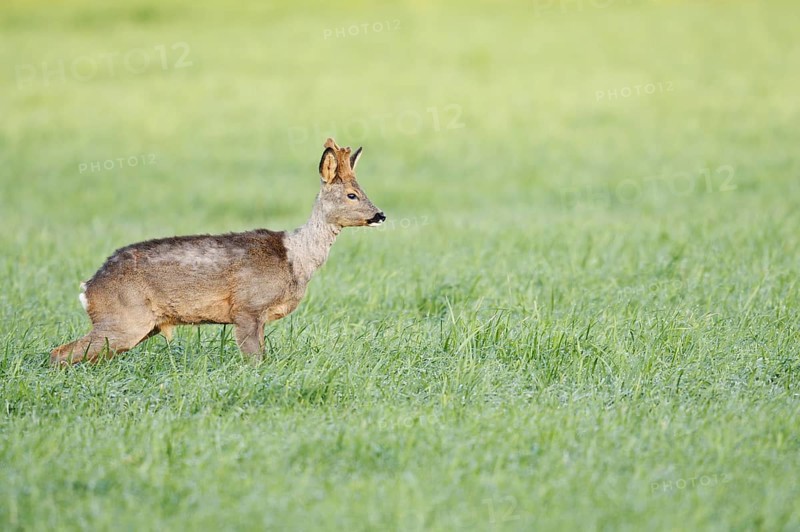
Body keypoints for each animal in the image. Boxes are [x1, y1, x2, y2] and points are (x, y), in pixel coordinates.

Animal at [50, 138, 385, 365]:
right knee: (60, 353)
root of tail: (89, 288)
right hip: (124, 318)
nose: (380, 214)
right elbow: (255, 358)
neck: (295, 259)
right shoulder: (248, 307)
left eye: (363, 191)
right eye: (352, 195)